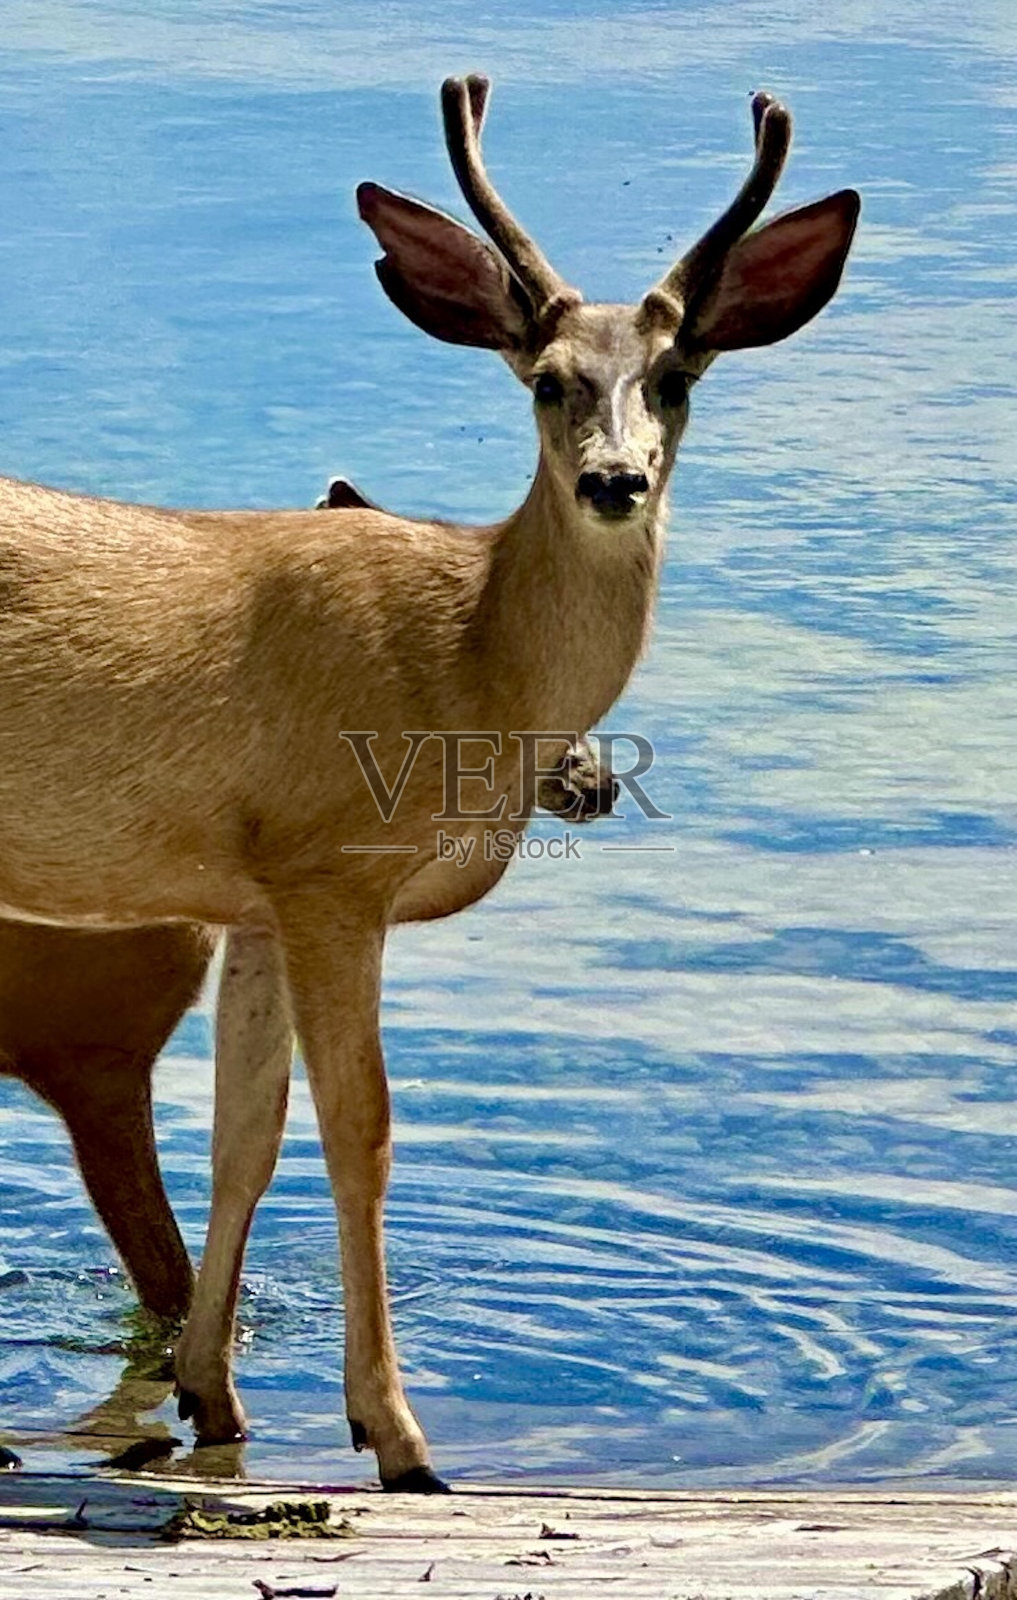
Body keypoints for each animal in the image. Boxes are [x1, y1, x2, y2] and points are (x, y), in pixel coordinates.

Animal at [0, 75, 858, 1491]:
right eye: (551, 381)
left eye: (677, 377)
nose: (614, 481)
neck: (468, 666)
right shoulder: (330, 866)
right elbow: (363, 1130)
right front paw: (397, 1434)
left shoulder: (253, 892)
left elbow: (245, 1135)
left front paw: (215, 1399)